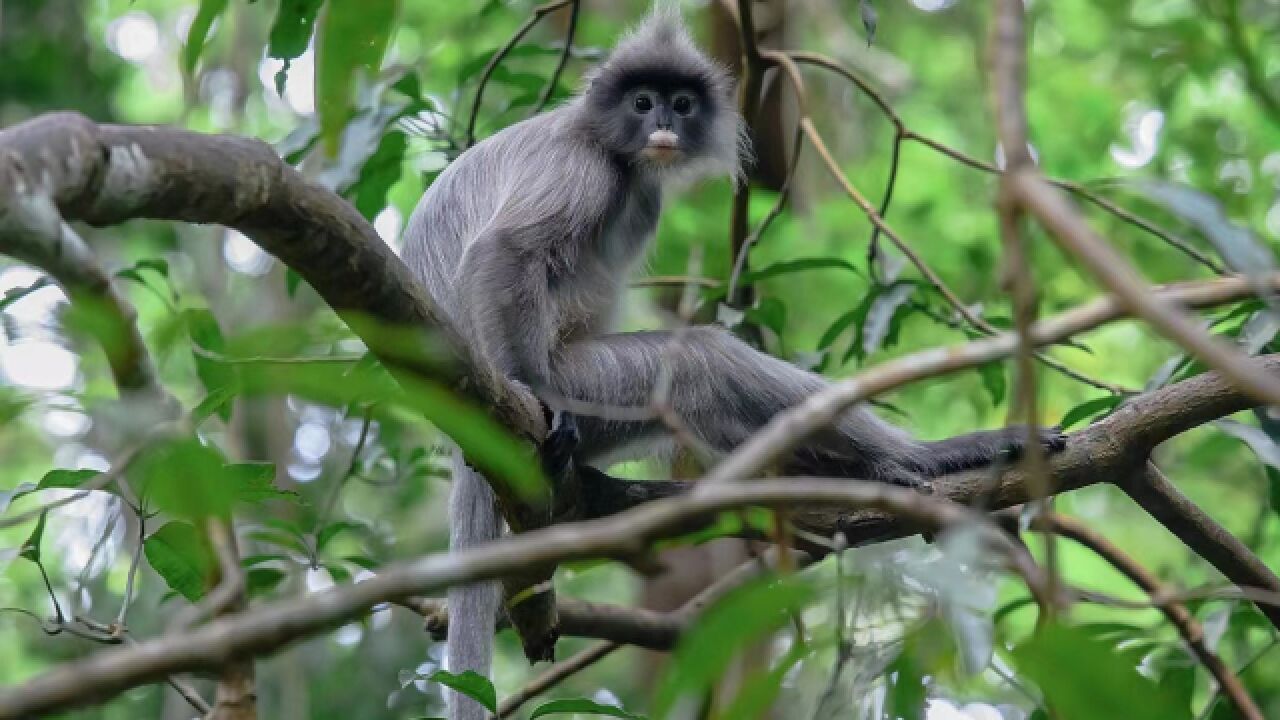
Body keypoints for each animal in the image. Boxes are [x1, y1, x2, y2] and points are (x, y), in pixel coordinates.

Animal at [404, 7, 1064, 717]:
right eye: (642, 104)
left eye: (682, 104)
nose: (663, 125)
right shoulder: (581, 168)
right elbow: (505, 250)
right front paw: (537, 393)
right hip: (591, 385)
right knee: (703, 358)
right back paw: (925, 458)